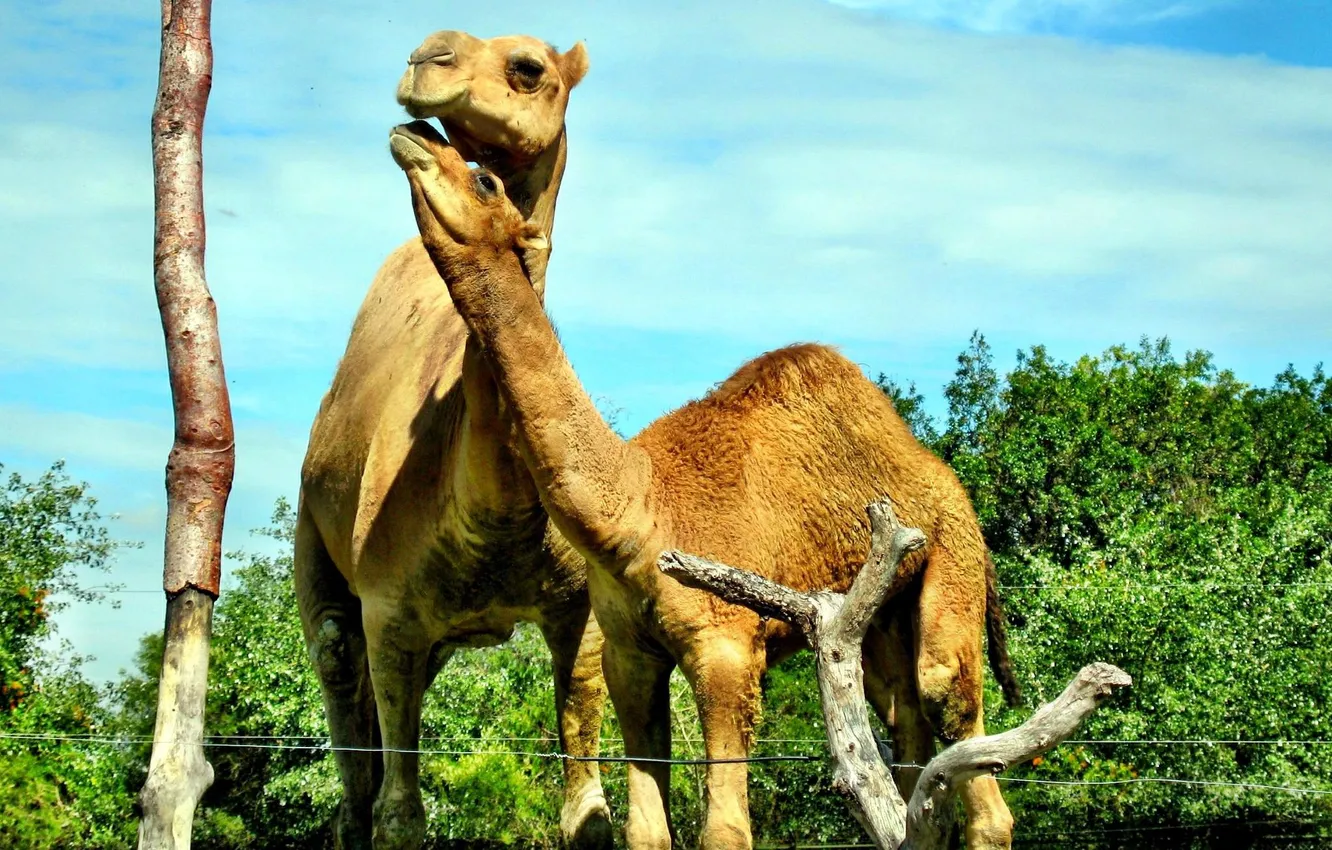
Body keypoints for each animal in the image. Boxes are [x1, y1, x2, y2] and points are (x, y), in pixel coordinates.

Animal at [294, 31, 610, 850]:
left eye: (528, 68)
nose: (424, 58)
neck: (491, 510)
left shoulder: (580, 610)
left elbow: (588, 815)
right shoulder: (390, 611)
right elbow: (401, 816)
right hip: (321, 548)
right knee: (341, 685)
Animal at [388, 122, 1022, 850]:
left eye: (484, 179)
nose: (412, 134)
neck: (636, 512)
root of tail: (950, 482)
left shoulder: (727, 650)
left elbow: (724, 829)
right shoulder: (629, 655)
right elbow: (646, 828)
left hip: (953, 559)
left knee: (955, 722)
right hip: (879, 615)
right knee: (907, 732)